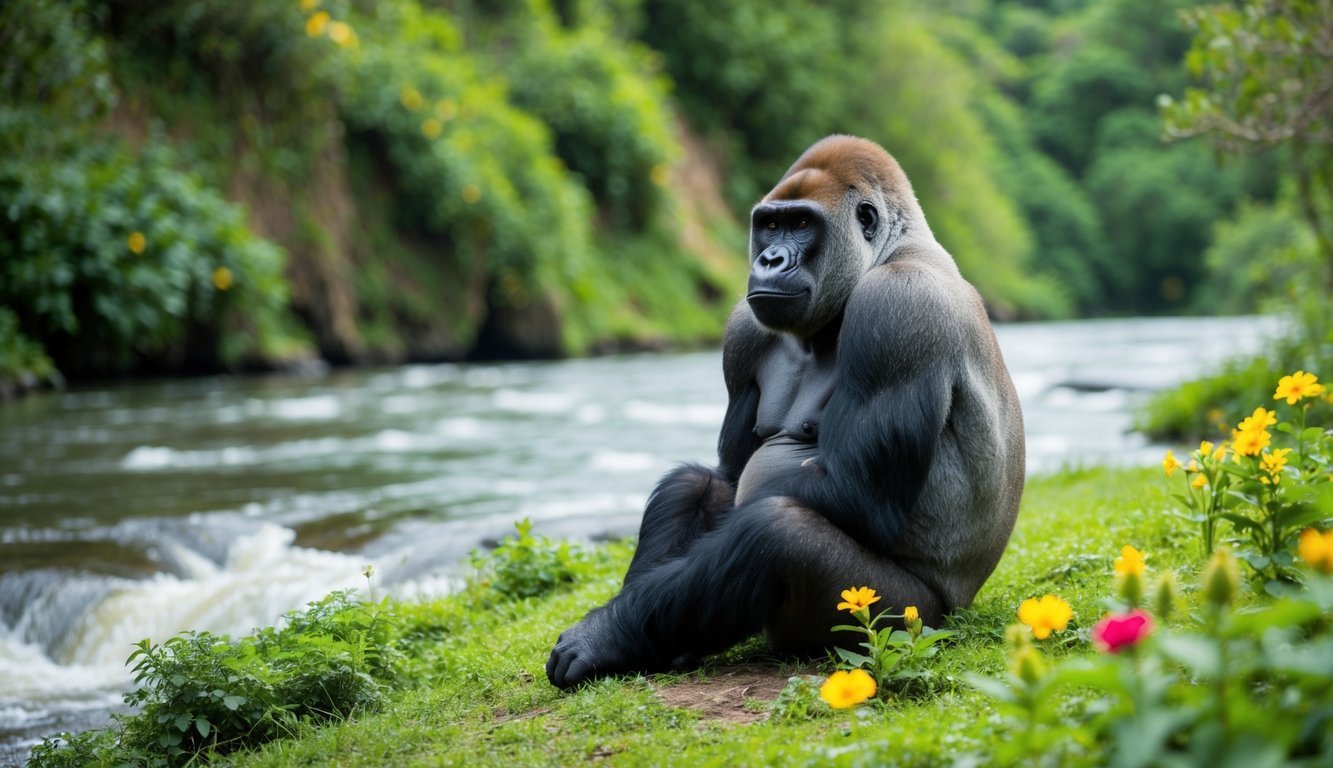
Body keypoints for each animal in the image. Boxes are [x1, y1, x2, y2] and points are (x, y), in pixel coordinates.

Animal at [546, 133, 1023, 688]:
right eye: (770, 225)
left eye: (801, 224)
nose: (770, 260)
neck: (887, 251)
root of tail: (960, 609)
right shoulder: (742, 332)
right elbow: (727, 478)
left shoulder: (898, 308)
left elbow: (851, 492)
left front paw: (605, 632)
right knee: (697, 485)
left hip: (909, 620)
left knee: (777, 533)